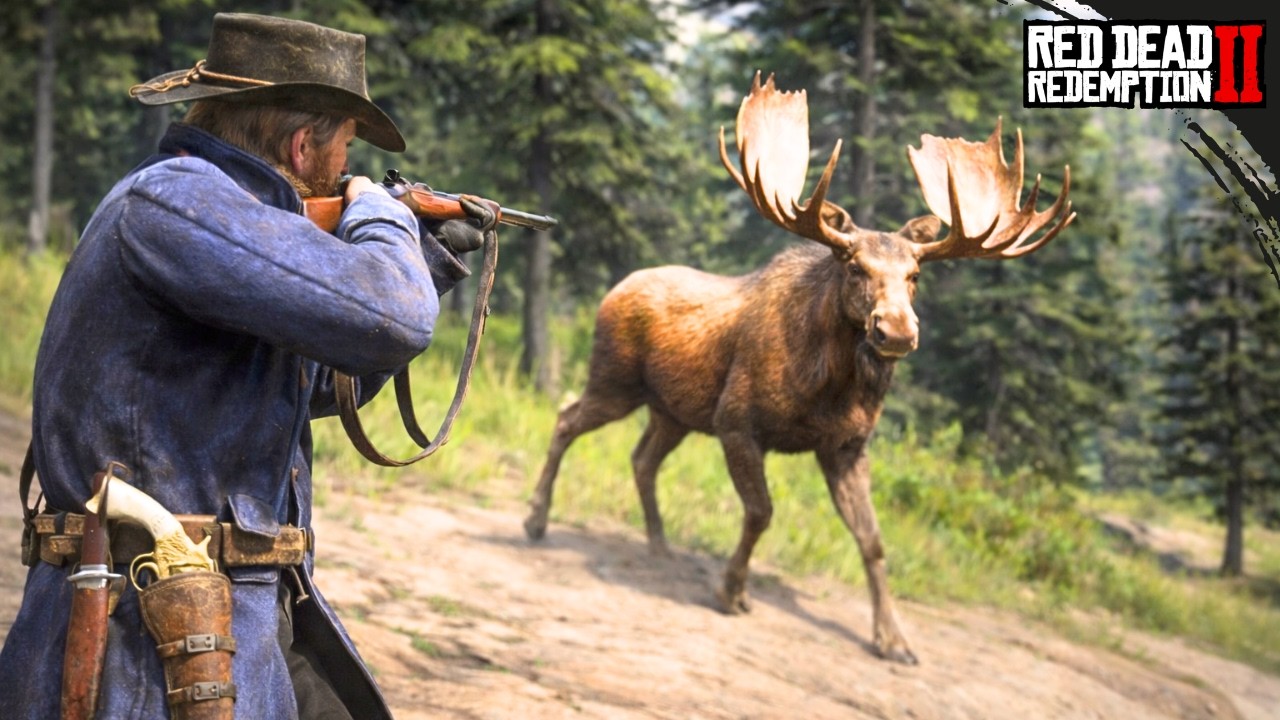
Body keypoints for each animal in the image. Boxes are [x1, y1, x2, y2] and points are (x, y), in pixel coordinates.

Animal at [523, 72, 1074, 664]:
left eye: (915, 275)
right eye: (854, 266)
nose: (896, 332)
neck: (828, 389)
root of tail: (614, 288)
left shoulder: (846, 447)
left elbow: (873, 541)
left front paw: (895, 640)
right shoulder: (736, 422)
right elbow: (761, 512)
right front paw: (731, 591)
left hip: (673, 411)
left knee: (642, 458)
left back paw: (659, 544)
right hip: (616, 379)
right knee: (566, 418)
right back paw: (535, 519)